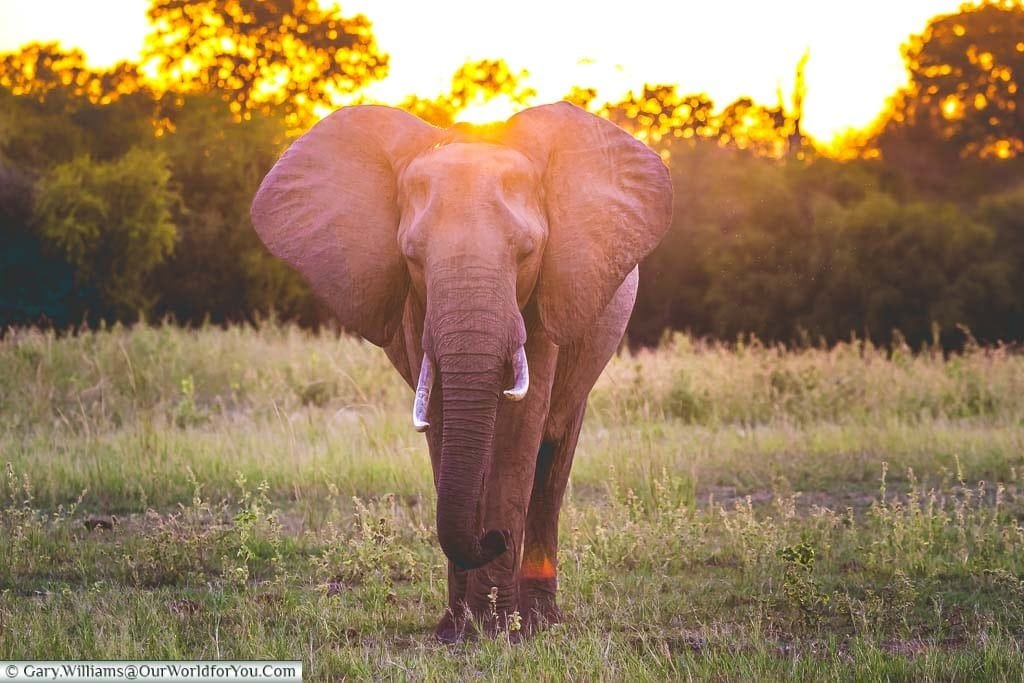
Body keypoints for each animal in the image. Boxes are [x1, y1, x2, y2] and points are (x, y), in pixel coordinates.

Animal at [252, 101, 675, 643]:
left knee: (552, 460)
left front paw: (498, 630)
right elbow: (440, 421)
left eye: (527, 253)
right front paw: (456, 630)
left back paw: (540, 619)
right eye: (411, 256)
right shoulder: (417, 311)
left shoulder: (544, 304)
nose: (492, 538)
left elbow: (519, 430)